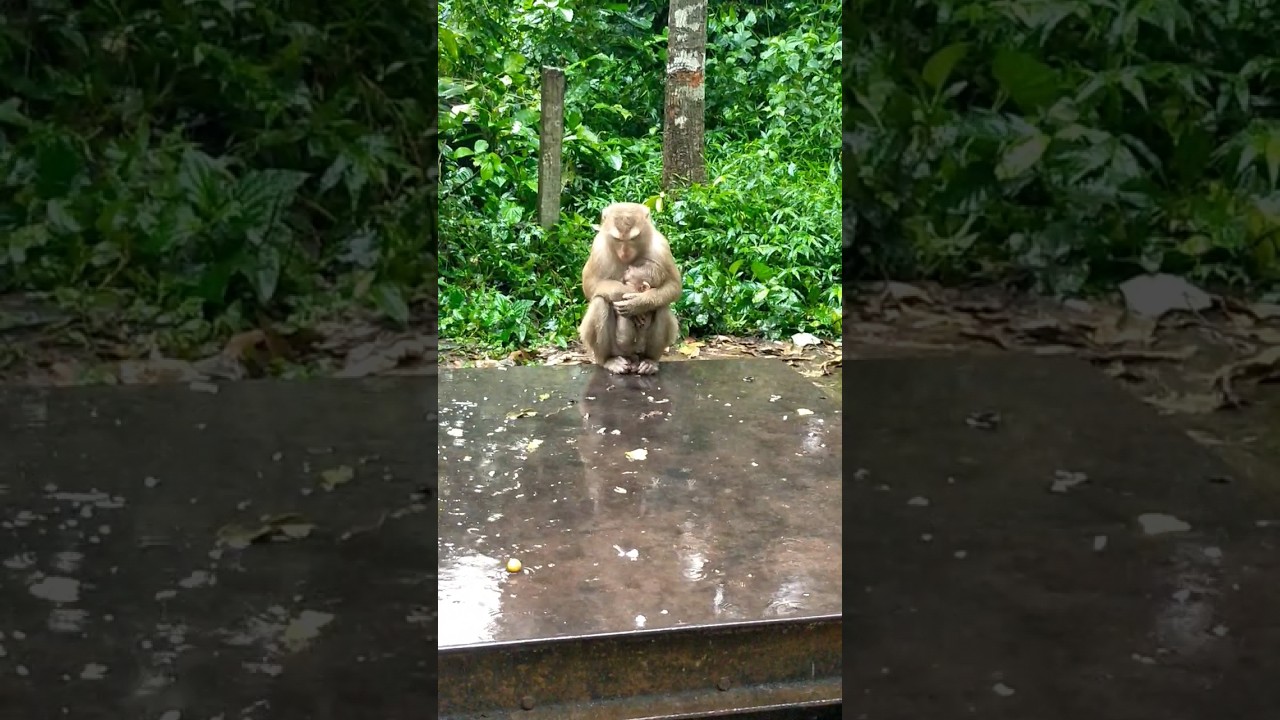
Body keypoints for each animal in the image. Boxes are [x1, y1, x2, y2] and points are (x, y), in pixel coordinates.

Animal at [578, 202, 682, 375]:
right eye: (617, 239)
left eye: (633, 238)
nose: (625, 253)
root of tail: (633, 358)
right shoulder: (597, 248)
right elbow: (589, 285)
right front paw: (625, 295)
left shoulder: (661, 246)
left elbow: (674, 285)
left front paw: (638, 304)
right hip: (617, 350)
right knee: (600, 301)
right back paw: (609, 360)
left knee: (662, 306)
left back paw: (649, 361)